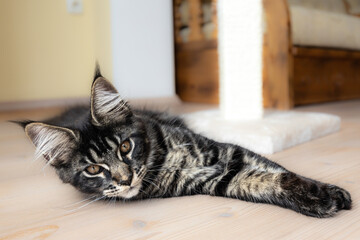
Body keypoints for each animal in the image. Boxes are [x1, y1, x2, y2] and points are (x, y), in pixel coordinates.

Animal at [17, 67, 352, 218]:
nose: (125, 180)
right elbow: (265, 181)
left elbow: (281, 175)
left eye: (125, 147)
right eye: (93, 170)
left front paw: (326, 193)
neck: (164, 158)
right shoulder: (220, 178)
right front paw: (321, 200)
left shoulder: (226, 153)